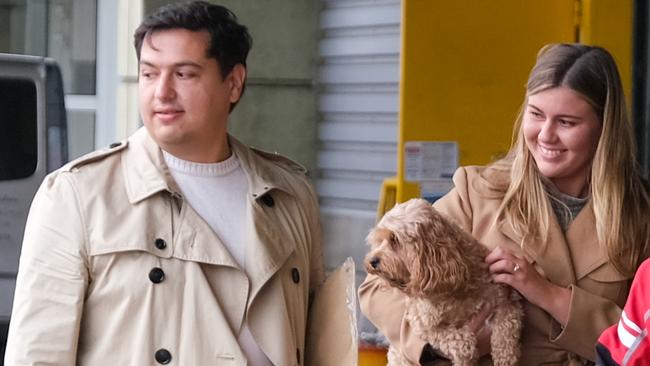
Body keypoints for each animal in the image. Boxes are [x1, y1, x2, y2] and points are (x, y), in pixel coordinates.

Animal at [364, 199, 520, 366]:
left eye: (395, 239)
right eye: (380, 241)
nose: (372, 261)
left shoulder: (506, 300)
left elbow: (506, 328)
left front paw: (505, 357)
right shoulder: (423, 325)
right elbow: (462, 343)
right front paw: (466, 355)